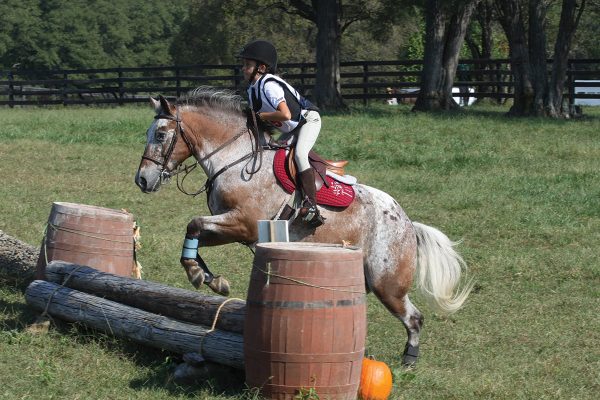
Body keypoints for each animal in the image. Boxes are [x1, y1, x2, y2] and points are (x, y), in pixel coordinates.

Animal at [135, 86, 474, 366]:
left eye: (161, 135)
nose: (142, 180)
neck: (234, 159)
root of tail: (407, 222)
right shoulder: (229, 227)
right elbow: (193, 234)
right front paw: (208, 278)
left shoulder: (244, 224)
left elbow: (193, 224)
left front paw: (201, 275)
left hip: (387, 282)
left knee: (414, 318)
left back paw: (408, 361)